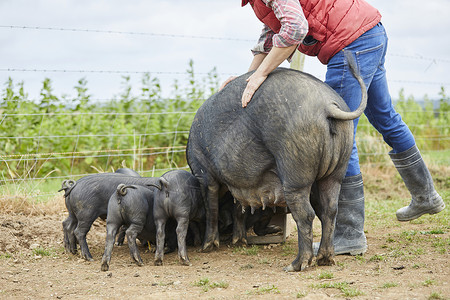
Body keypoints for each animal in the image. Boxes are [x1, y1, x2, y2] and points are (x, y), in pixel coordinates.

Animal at [186, 54, 366, 272]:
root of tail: (327, 106)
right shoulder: (239, 182)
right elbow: (239, 208)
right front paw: (239, 242)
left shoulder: (204, 172)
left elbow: (211, 208)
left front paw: (206, 248)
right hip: (336, 169)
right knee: (330, 211)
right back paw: (325, 259)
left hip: (294, 168)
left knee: (306, 215)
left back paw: (295, 265)